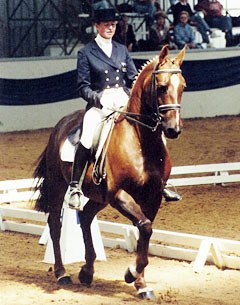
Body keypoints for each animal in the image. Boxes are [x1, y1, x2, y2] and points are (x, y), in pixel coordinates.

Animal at [33, 44, 186, 296]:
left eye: (183, 86)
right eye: (162, 86)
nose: (173, 129)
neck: (141, 141)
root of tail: (61, 124)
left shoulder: (152, 196)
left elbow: (145, 232)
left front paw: (141, 283)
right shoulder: (119, 195)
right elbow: (145, 227)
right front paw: (131, 274)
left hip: (99, 196)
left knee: (86, 217)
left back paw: (87, 272)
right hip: (59, 185)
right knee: (55, 225)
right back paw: (62, 274)